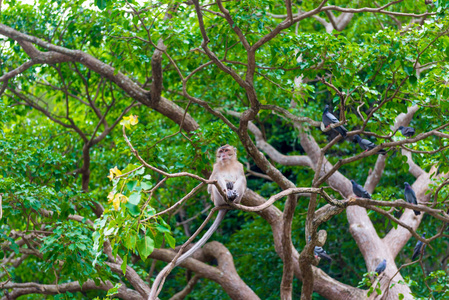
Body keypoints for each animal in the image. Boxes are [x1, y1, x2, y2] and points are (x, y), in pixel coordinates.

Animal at [148, 144, 247, 298]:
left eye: (226, 150)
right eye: (221, 151)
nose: (223, 155)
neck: (227, 164)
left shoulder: (239, 166)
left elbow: (242, 179)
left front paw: (233, 187)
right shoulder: (215, 168)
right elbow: (212, 184)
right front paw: (228, 185)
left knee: (241, 180)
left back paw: (233, 199)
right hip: (217, 200)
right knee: (217, 180)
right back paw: (229, 195)